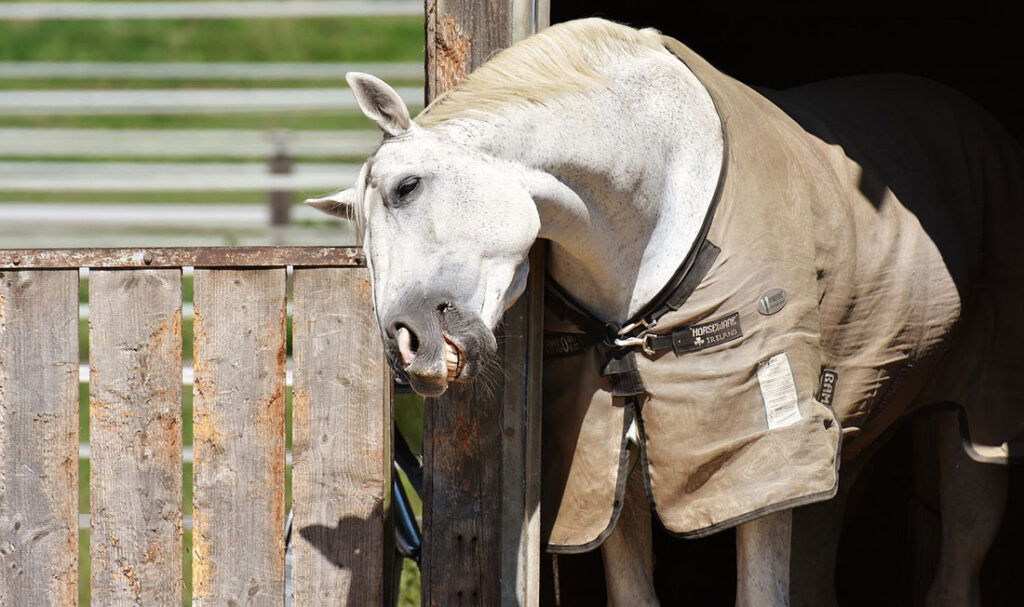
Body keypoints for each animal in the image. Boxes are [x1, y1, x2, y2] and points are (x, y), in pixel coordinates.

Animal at [308, 18, 1023, 605]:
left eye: (407, 187)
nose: (407, 349)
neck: (656, 196)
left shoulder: (758, 454)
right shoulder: (612, 455)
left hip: (971, 434)